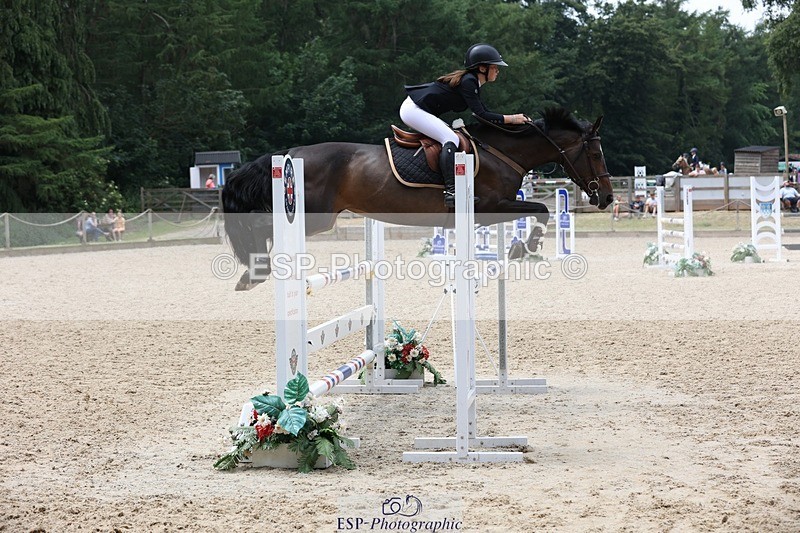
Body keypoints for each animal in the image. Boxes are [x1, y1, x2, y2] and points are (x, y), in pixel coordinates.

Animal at [223, 107, 613, 290]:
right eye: (595, 154)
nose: (607, 198)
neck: (501, 151)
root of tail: (291, 153)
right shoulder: (490, 206)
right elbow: (542, 209)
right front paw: (524, 247)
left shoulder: (488, 211)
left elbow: (539, 210)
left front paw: (519, 247)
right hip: (315, 216)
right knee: (263, 225)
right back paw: (255, 272)